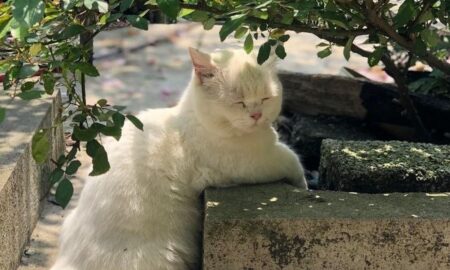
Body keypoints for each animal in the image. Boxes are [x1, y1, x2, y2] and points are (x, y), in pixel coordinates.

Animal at [51, 48, 308, 270]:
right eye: (239, 102)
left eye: (266, 98)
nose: (256, 115)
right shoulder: (252, 164)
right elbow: (292, 160)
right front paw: (305, 186)